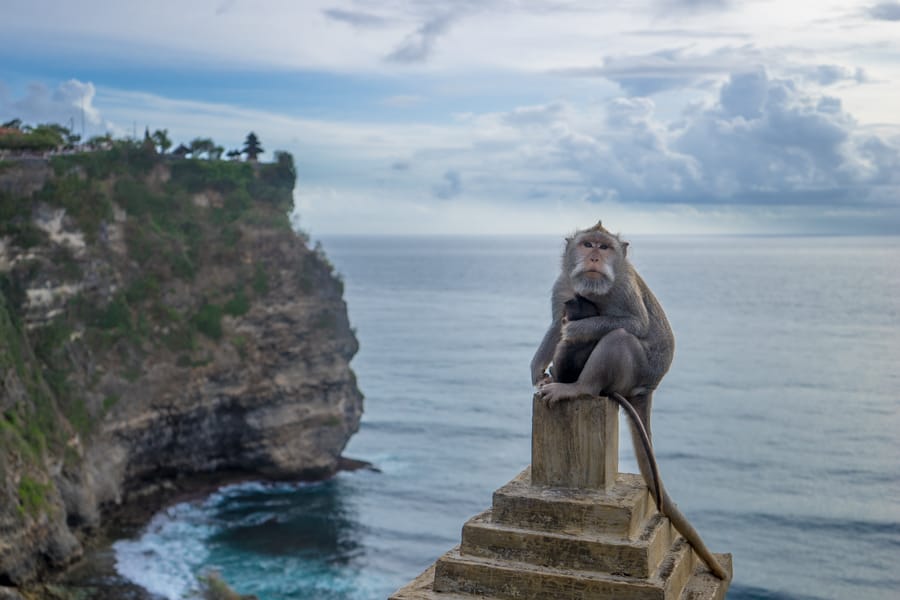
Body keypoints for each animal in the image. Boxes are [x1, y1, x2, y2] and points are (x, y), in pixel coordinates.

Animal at [531, 220, 728, 580]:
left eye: (605, 247)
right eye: (587, 244)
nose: (595, 256)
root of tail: (648, 388)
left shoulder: (623, 288)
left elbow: (633, 323)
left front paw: (577, 329)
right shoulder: (562, 284)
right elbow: (554, 323)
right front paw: (537, 367)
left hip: (636, 371)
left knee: (619, 337)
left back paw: (578, 387)